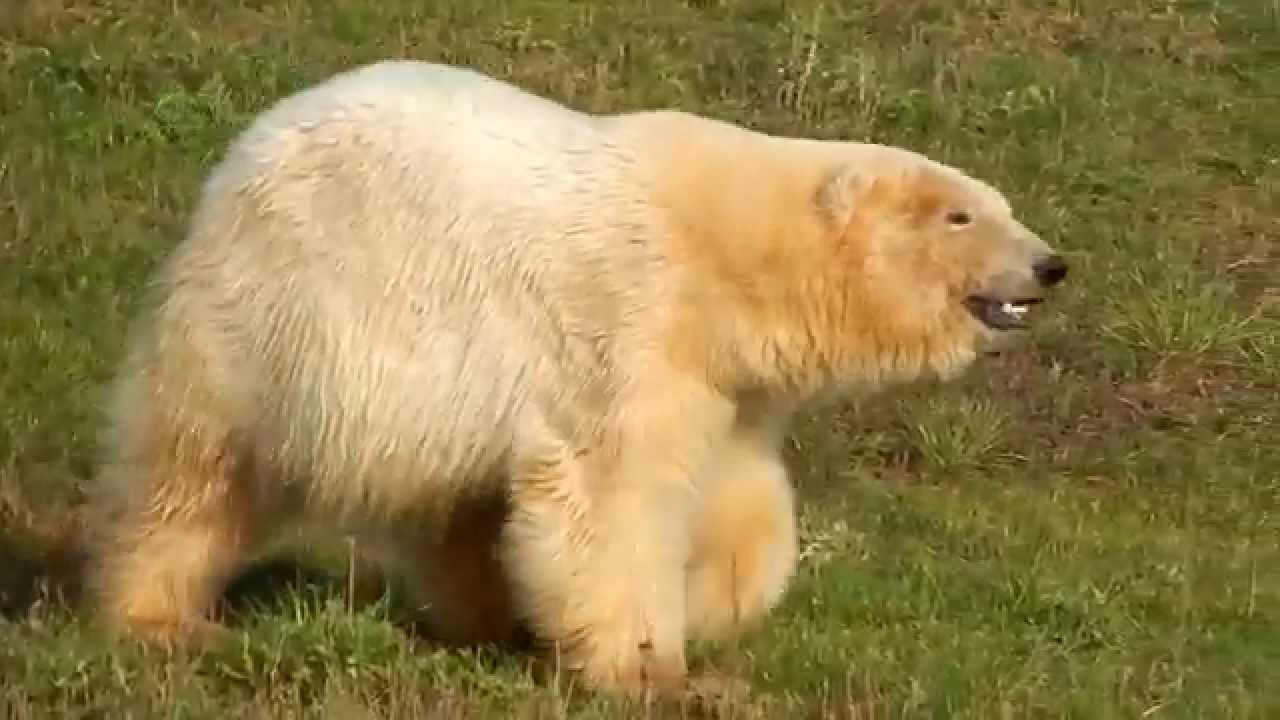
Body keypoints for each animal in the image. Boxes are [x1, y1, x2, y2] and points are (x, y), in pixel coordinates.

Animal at [84, 60, 1068, 698]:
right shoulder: (630, 323)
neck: (728, 255)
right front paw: (644, 667)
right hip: (276, 318)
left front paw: (708, 610)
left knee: (458, 507)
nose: (1050, 265)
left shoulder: (724, 378)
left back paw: (487, 619)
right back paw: (161, 615)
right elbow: (613, 494)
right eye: (961, 214)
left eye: (1003, 205)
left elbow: (739, 495)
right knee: (195, 469)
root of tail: (238, 156)